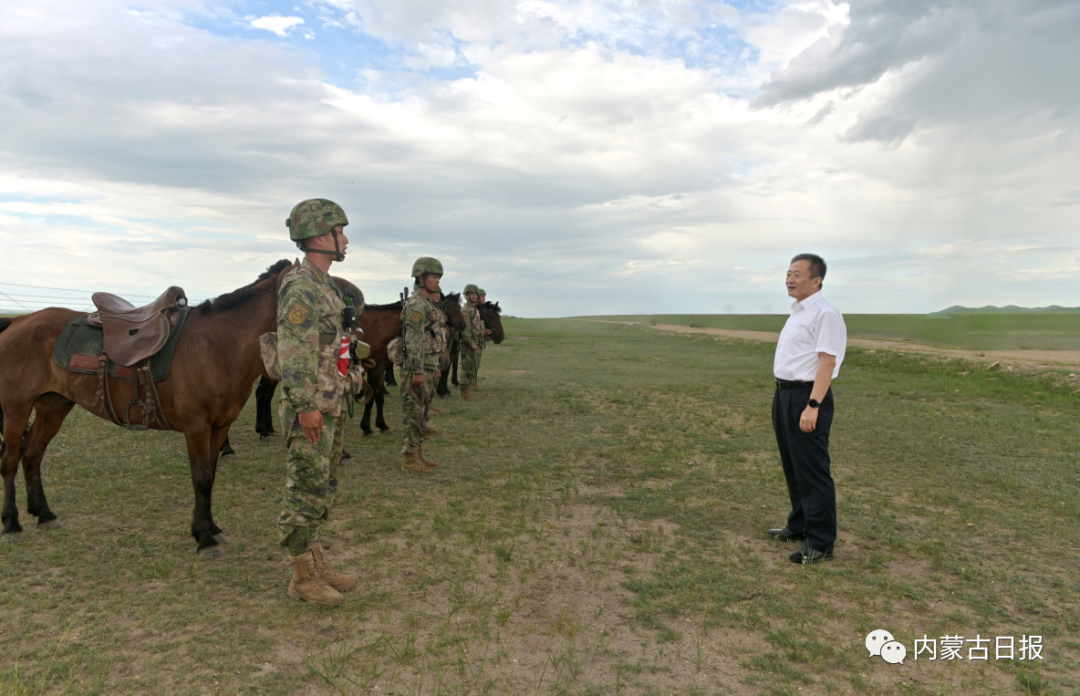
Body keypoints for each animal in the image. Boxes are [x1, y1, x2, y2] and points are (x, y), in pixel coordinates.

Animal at [0, 258, 295, 557]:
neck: (217, 345)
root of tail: (18, 321)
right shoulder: (196, 427)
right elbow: (201, 478)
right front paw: (204, 538)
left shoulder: (221, 425)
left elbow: (211, 476)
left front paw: (212, 529)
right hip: (16, 410)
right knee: (10, 460)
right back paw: (12, 524)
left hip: (53, 406)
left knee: (32, 454)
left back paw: (44, 514)